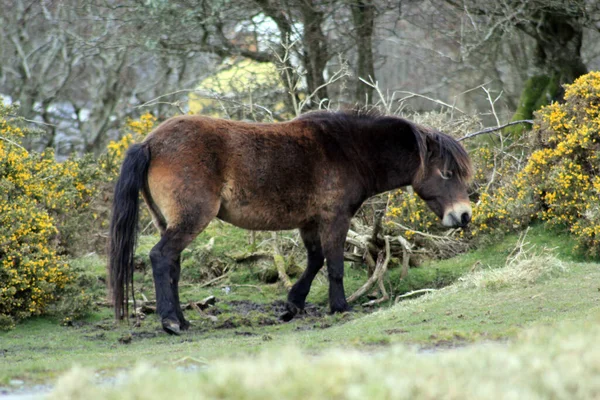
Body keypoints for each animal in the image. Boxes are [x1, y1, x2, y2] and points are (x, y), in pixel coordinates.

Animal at [109, 110, 474, 334]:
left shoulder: (309, 222)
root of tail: (149, 143)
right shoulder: (335, 218)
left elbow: (315, 261)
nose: (464, 215)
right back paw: (170, 321)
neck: (348, 150)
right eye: (447, 173)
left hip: (169, 222)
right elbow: (335, 265)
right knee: (160, 257)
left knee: (171, 265)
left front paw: (292, 305)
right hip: (190, 219)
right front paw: (339, 307)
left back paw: (182, 321)